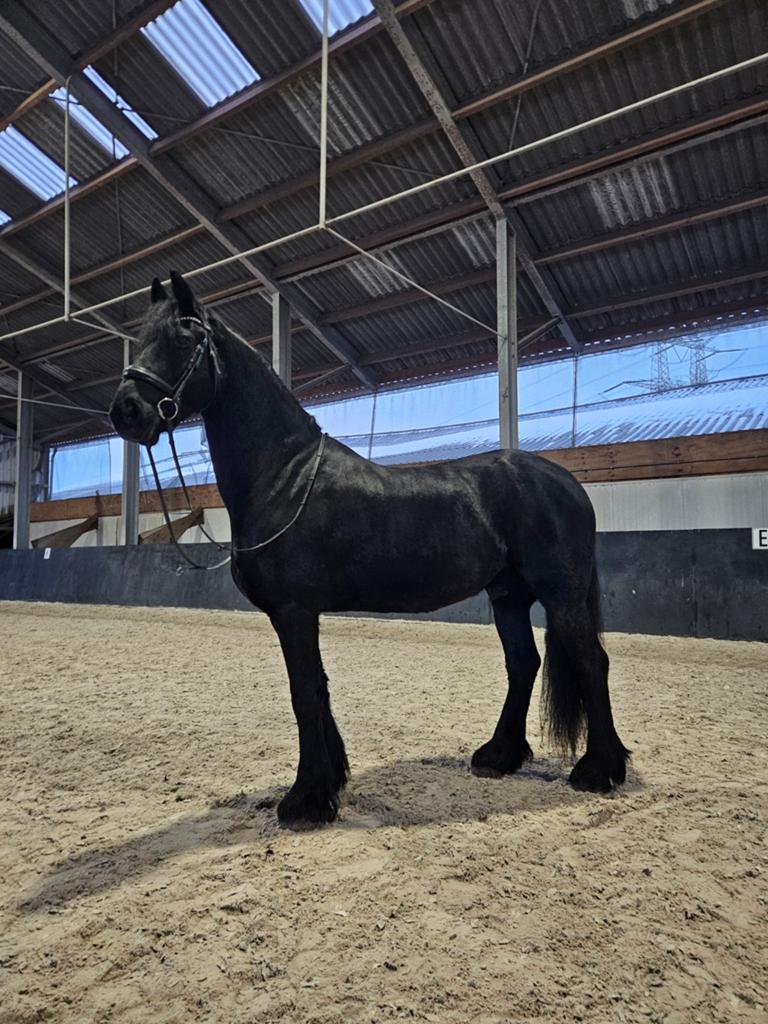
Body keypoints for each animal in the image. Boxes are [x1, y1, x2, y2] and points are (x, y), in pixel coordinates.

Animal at [109, 270, 629, 828]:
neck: (284, 475)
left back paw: (599, 771)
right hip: (508, 596)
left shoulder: (294, 611)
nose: (126, 411)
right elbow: (316, 690)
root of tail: (565, 480)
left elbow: (304, 692)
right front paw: (329, 783)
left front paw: (306, 799)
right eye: (141, 337)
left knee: (591, 662)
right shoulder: (299, 614)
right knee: (523, 664)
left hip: (561, 595)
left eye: (183, 339)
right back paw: (498, 756)